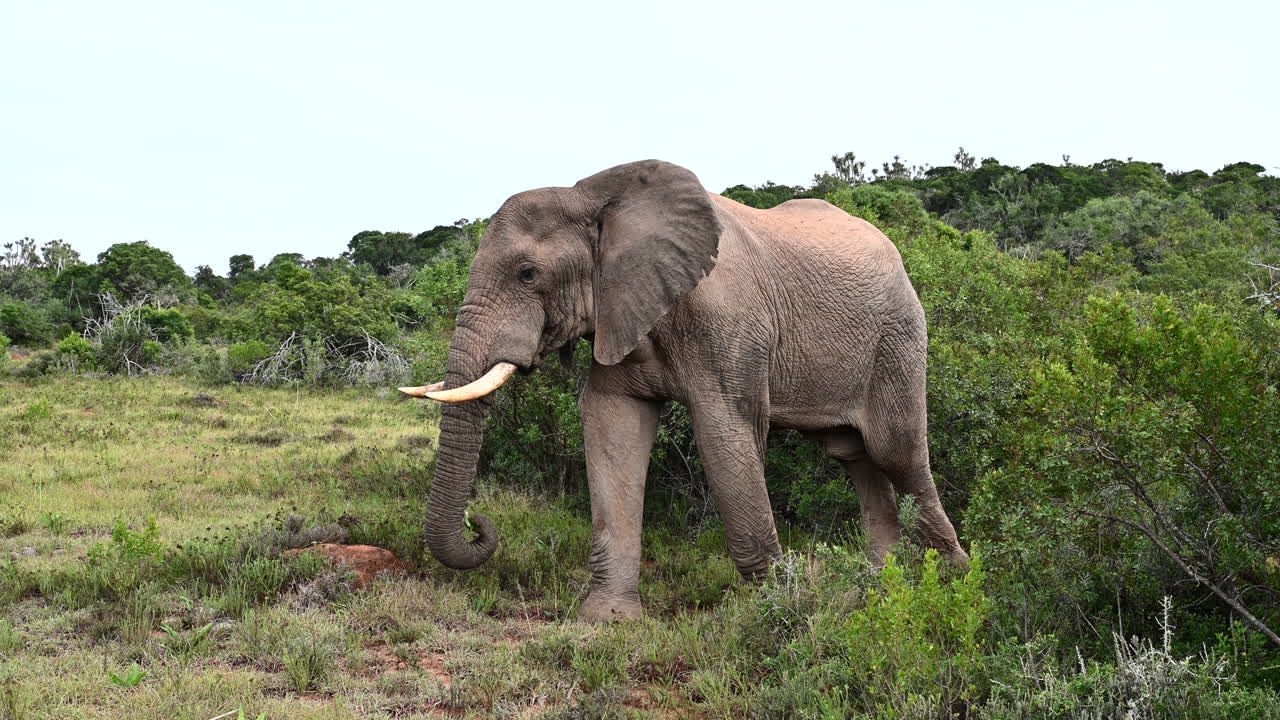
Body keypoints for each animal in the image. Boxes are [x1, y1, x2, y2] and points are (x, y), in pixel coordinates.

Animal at [400, 160, 969, 622]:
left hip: (899, 337)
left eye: (527, 273)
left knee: (897, 452)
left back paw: (954, 580)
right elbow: (612, 427)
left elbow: (724, 433)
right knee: (854, 455)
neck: (595, 195)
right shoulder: (621, 312)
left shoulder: (730, 323)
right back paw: (886, 583)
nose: (480, 524)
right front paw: (607, 620)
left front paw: (778, 606)